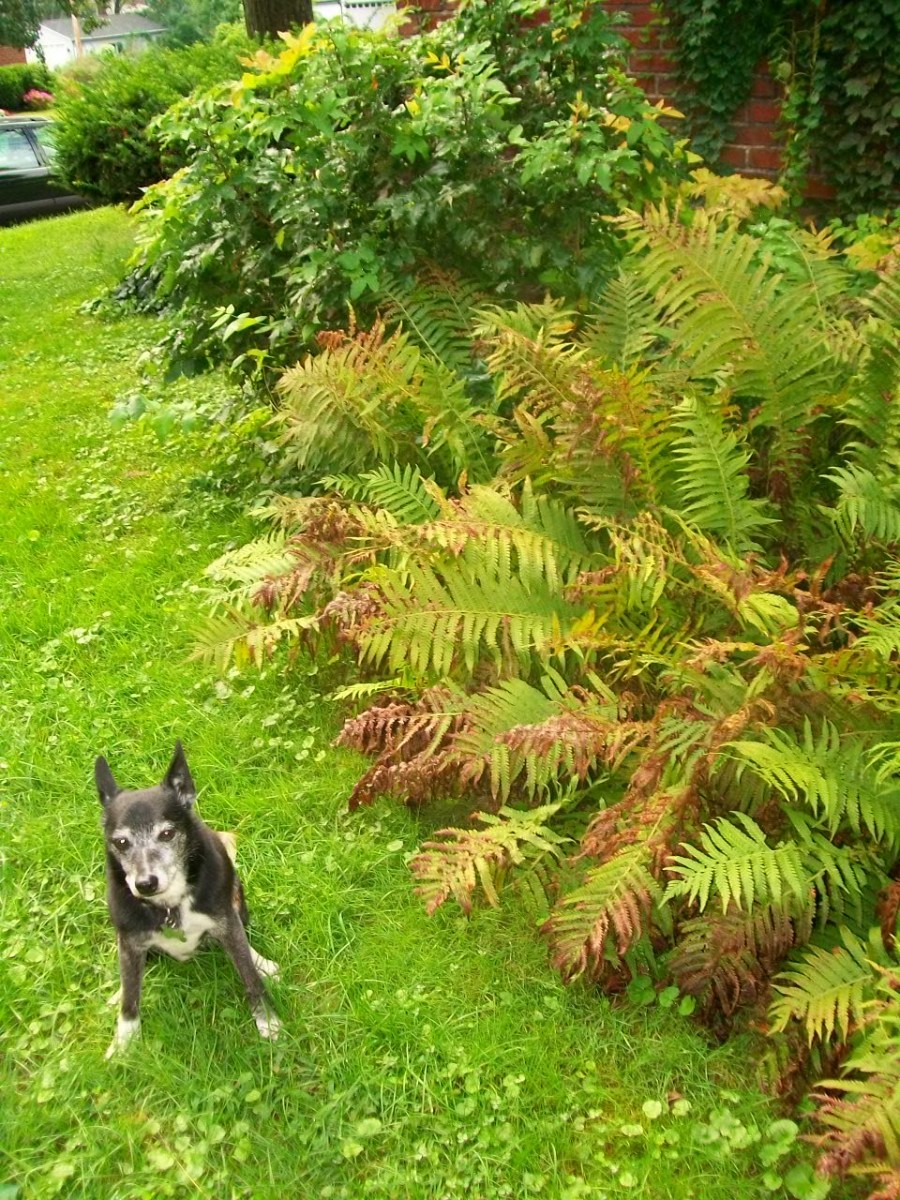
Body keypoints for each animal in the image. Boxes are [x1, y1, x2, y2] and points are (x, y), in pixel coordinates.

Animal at [95, 741, 280, 1057]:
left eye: (167, 833)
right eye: (121, 842)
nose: (145, 883)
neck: (170, 905)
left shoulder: (226, 921)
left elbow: (249, 975)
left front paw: (266, 1020)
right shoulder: (130, 940)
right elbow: (130, 999)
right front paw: (124, 1044)